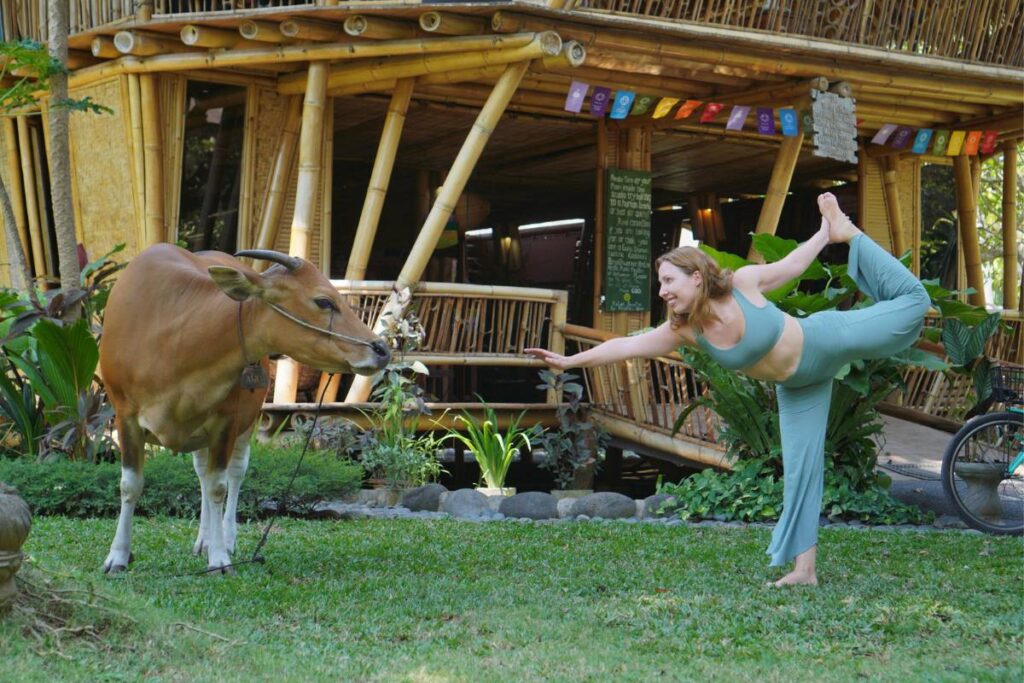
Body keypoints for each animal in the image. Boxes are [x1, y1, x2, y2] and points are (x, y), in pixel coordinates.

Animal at [98, 245, 390, 574]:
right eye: (324, 301)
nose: (381, 349)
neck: (173, 339)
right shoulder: (125, 416)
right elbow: (130, 485)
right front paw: (118, 556)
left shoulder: (226, 422)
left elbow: (219, 486)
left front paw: (220, 558)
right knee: (200, 472)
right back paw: (204, 539)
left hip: (245, 424)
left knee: (233, 475)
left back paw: (223, 539)